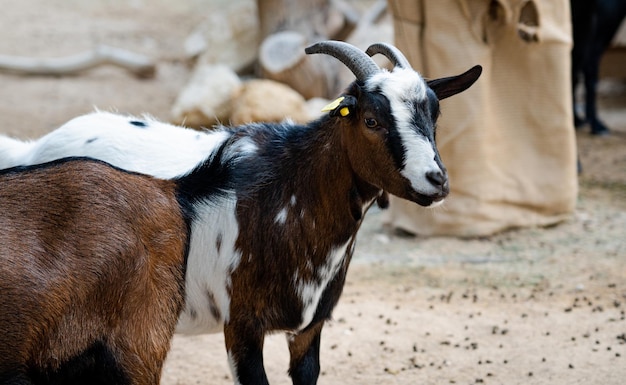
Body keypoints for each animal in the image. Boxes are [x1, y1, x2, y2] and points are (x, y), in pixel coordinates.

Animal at [0, 40, 480, 382]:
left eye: (433, 115)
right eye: (371, 120)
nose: (436, 180)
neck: (288, 194)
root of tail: (33, 148)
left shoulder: (309, 330)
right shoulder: (242, 328)